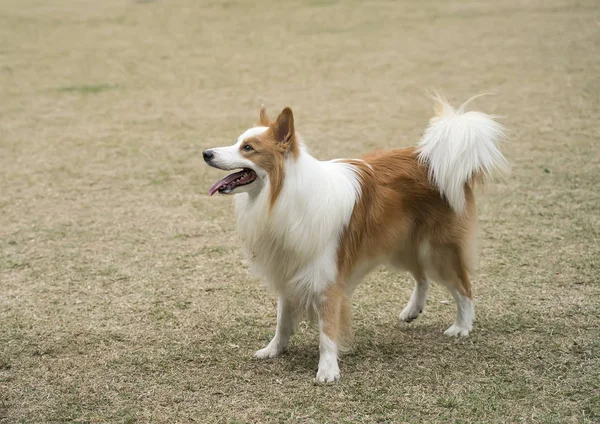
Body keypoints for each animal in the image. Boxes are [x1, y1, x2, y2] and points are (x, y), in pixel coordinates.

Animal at [204, 97, 508, 382]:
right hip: (401, 244)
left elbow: (327, 329)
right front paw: (274, 349)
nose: (206, 153)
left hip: (436, 249)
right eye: (238, 142)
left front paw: (328, 369)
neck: (280, 195)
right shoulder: (289, 269)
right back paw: (412, 310)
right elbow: (282, 319)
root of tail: (431, 158)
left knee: (463, 286)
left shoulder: (325, 277)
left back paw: (462, 327)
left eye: (248, 148)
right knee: (421, 276)